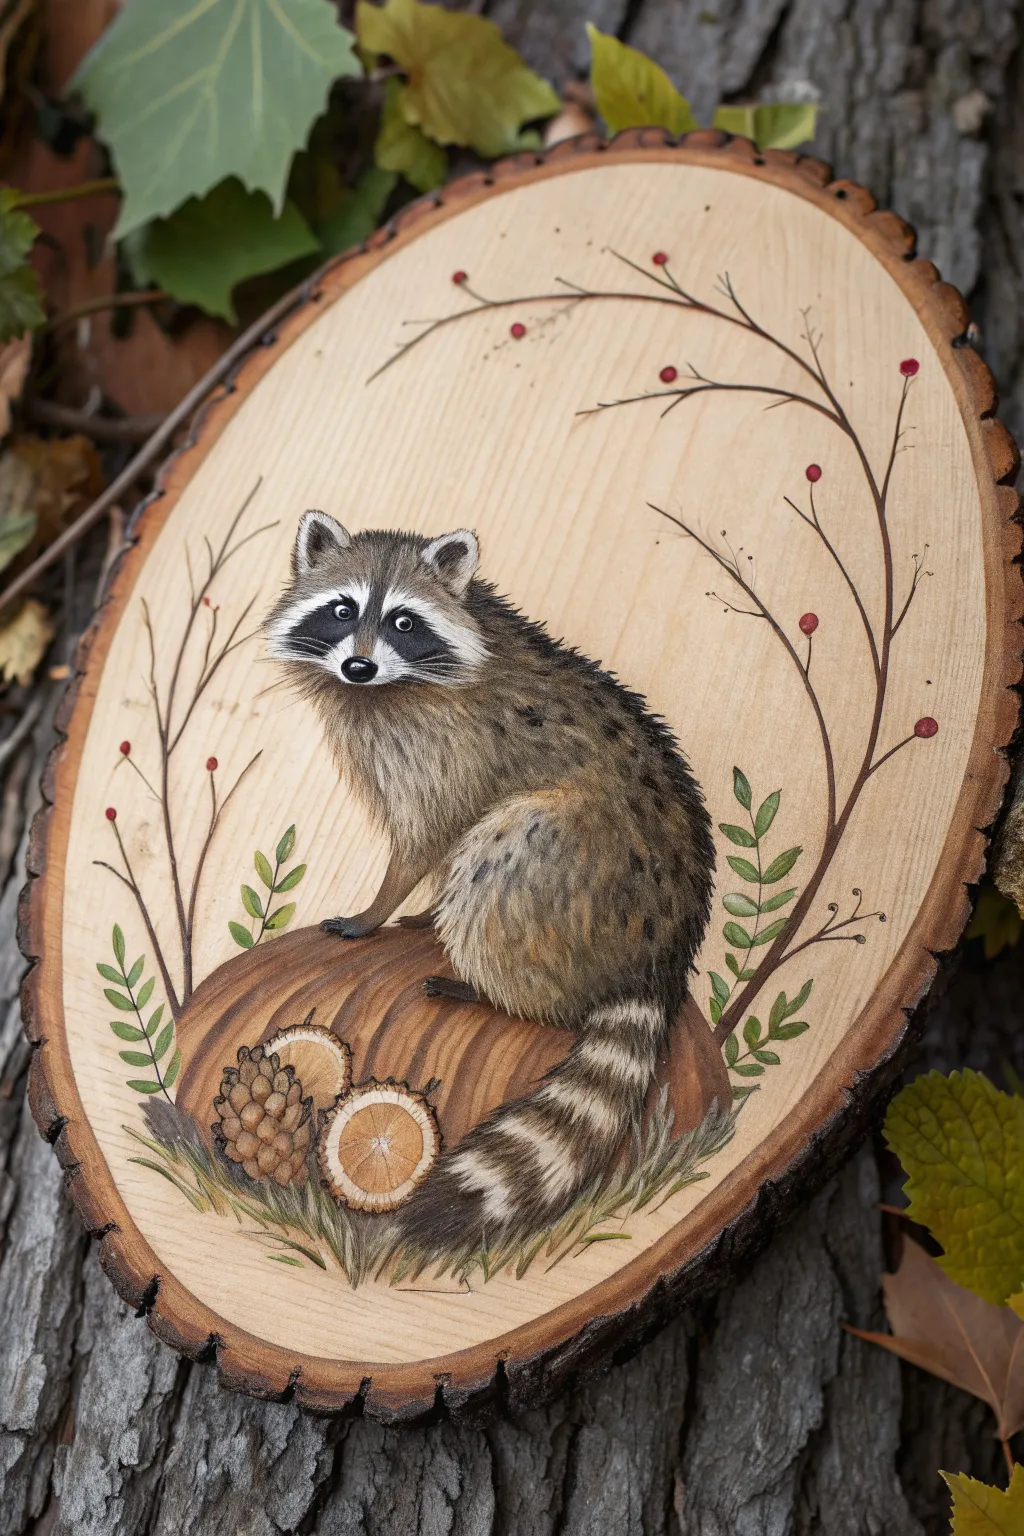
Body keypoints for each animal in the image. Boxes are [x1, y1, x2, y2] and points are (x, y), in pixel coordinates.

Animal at [266, 511, 715, 1256]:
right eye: (342, 610)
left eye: (404, 621)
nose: (358, 665)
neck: (382, 690)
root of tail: (664, 948)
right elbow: (439, 840)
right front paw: (420, 911)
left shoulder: (447, 746)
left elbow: (429, 834)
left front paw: (378, 908)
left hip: (569, 856)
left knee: (500, 858)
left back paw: (489, 986)